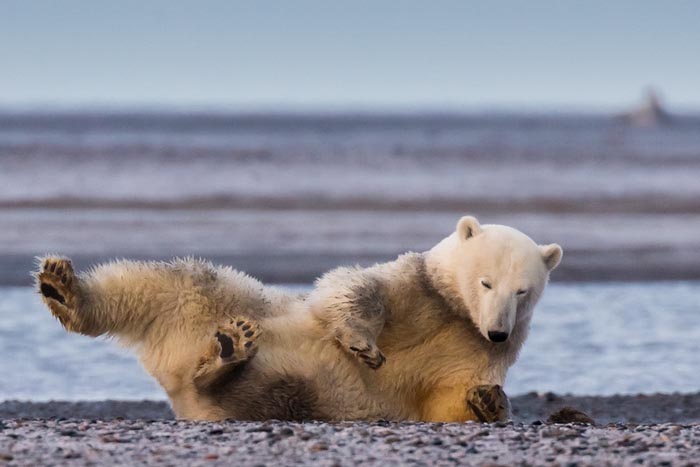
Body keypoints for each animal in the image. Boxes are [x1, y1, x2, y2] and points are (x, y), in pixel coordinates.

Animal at [37, 216, 564, 424]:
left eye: (523, 290)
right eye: (486, 282)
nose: (496, 329)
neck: (455, 312)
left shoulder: (477, 348)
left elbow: (448, 396)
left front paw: (489, 400)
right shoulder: (416, 289)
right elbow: (351, 291)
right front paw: (363, 345)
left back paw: (224, 359)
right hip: (214, 300)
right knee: (158, 282)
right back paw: (63, 287)